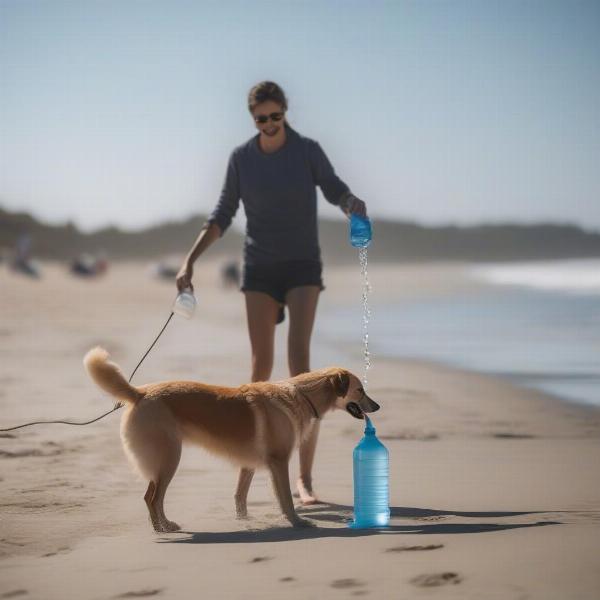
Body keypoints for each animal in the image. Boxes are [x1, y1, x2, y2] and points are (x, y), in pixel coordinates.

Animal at [83, 346, 380, 528]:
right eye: (360, 389)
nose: (377, 406)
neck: (300, 394)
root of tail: (140, 393)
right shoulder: (279, 462)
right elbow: (285, 498)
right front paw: (297, 523)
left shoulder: (248, 465)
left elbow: (240, 496)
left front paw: (245, 521)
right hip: (169, 459)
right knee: (154, 498)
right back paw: (165, 528)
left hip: (162, 462)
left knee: (149, 497)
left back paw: (161, 528)